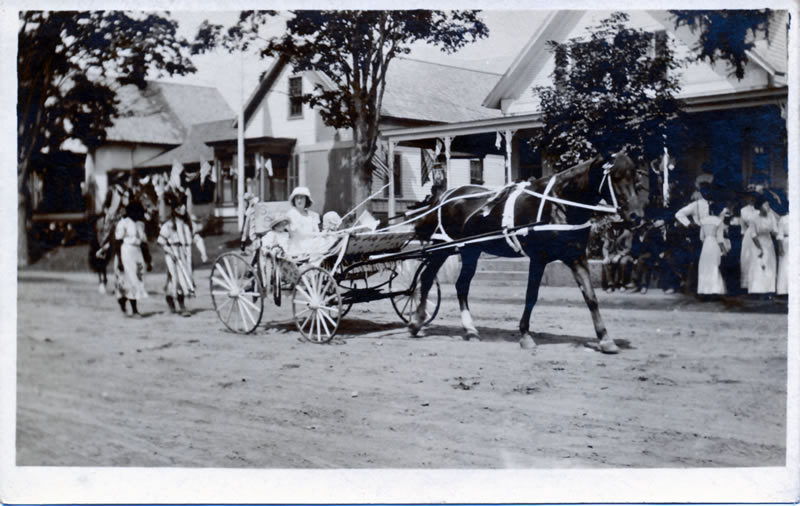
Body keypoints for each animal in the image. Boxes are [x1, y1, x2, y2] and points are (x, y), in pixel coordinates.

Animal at [410, 152, 648, 354]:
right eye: (615, 176)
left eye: (636, 177)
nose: (636, 216)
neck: (558, 203)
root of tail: (446, 196)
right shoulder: (539, 257)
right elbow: (531, 296)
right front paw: (525, 335)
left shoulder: (576, 256)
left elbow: (591, 297)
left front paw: (605, 339)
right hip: (443, 248)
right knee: (427, 278)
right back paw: (416, 321)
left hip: (471, 251)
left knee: (461, 286)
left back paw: (470, 329)